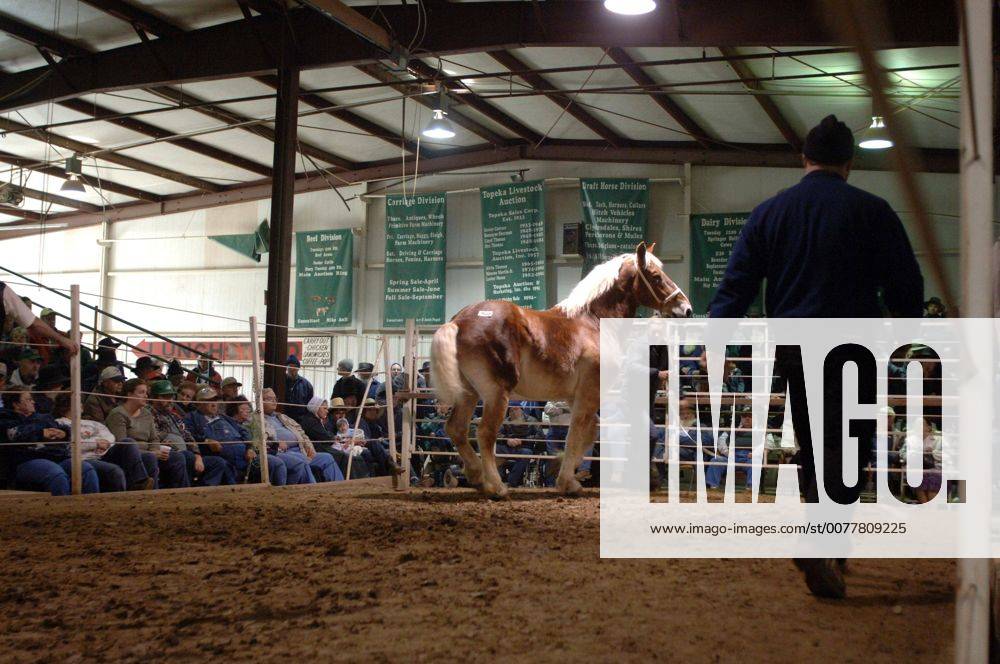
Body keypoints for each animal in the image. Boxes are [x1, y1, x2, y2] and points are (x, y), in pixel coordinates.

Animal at [430, 242, 693, 498]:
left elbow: (589, 432)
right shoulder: (589, 393)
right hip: (496, 394)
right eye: (656, 276)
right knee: (484, 433)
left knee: (456, 429)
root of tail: (459, 321)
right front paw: (567, 480)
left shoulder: (574, 397)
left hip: (468, 394)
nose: (686, 309)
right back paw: (496, 487)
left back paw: (476, 476)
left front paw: (564, 474)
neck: (592, 322)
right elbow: (576, 433)